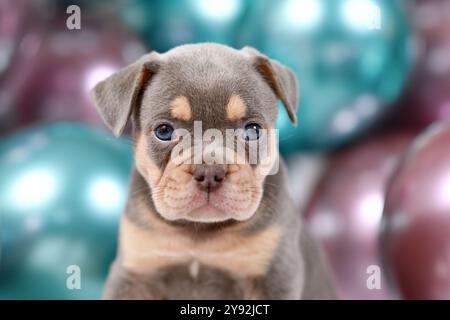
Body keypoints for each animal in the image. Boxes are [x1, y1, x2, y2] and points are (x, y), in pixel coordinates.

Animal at [90, 43, 334, 298]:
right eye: (164, 131)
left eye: (252, 131)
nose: (209, 172)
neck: (200, 230)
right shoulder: (137, 271)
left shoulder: (273, 276)